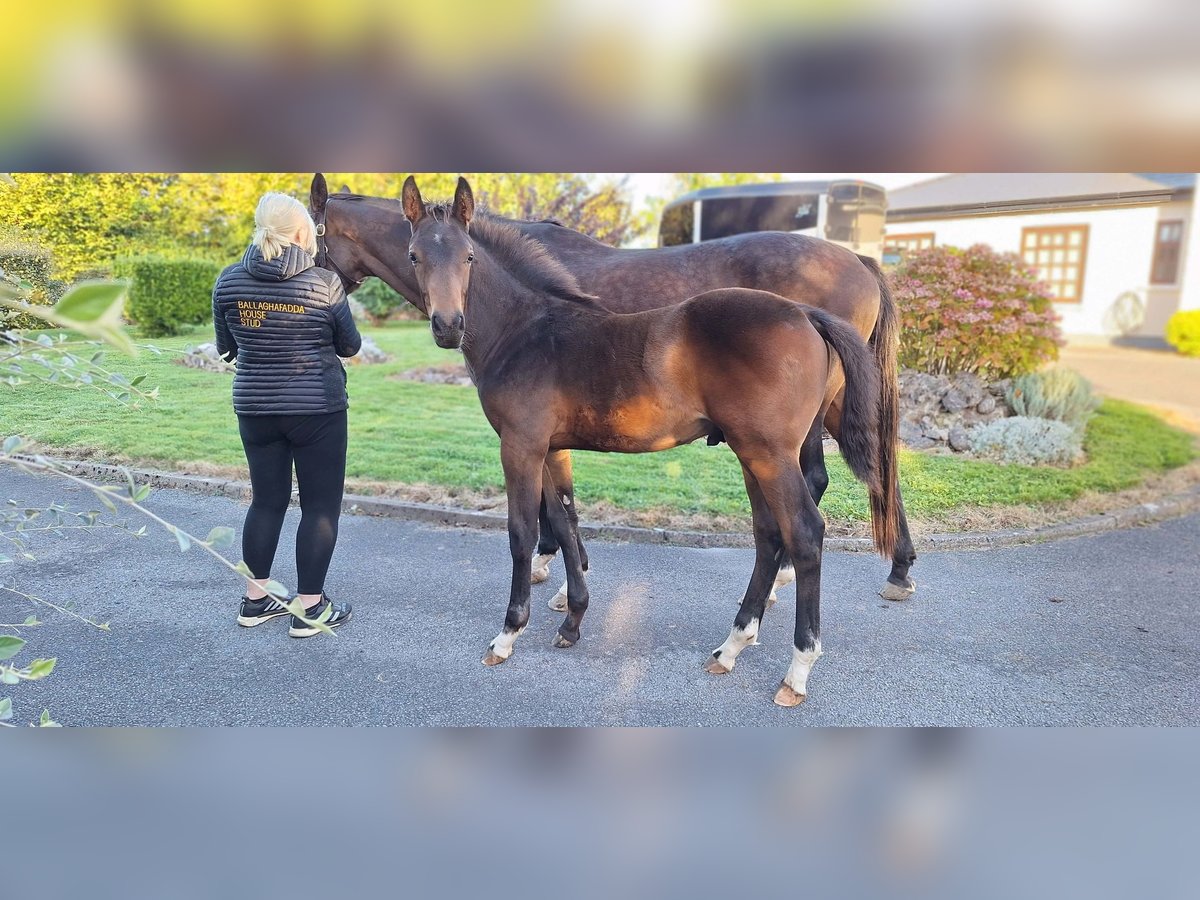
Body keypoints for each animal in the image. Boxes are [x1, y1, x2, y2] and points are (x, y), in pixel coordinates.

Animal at [403, 176, 902, 710]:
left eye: (469, 256)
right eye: (415, 255)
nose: (447, 325)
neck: (526, 332)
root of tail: (807, 315)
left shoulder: (520, 445)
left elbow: (522, 532)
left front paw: (508, 634)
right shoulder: (548, 449)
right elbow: (562, 519)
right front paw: (571, 620)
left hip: (771, 454)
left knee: (804, 534)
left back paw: (797, 670)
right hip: (753, 455)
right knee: (769, 535)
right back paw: (733, 645)